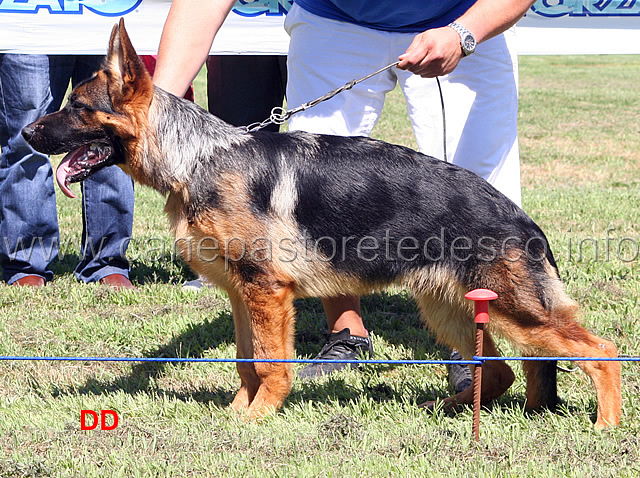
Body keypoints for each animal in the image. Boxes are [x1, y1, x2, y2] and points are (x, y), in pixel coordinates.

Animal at [22, 20, 624, 428]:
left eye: (78, 107)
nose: (26, 134)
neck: (195, 157)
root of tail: (520, 215)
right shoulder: (243, 294)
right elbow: (246, 360)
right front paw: (240, 411)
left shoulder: (267, 292)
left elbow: (269, 362)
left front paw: (257, 418)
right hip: (449, 308)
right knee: (499, 371)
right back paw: (448, 406)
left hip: (513, 310)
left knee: (601, 351)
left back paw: (606, 425)